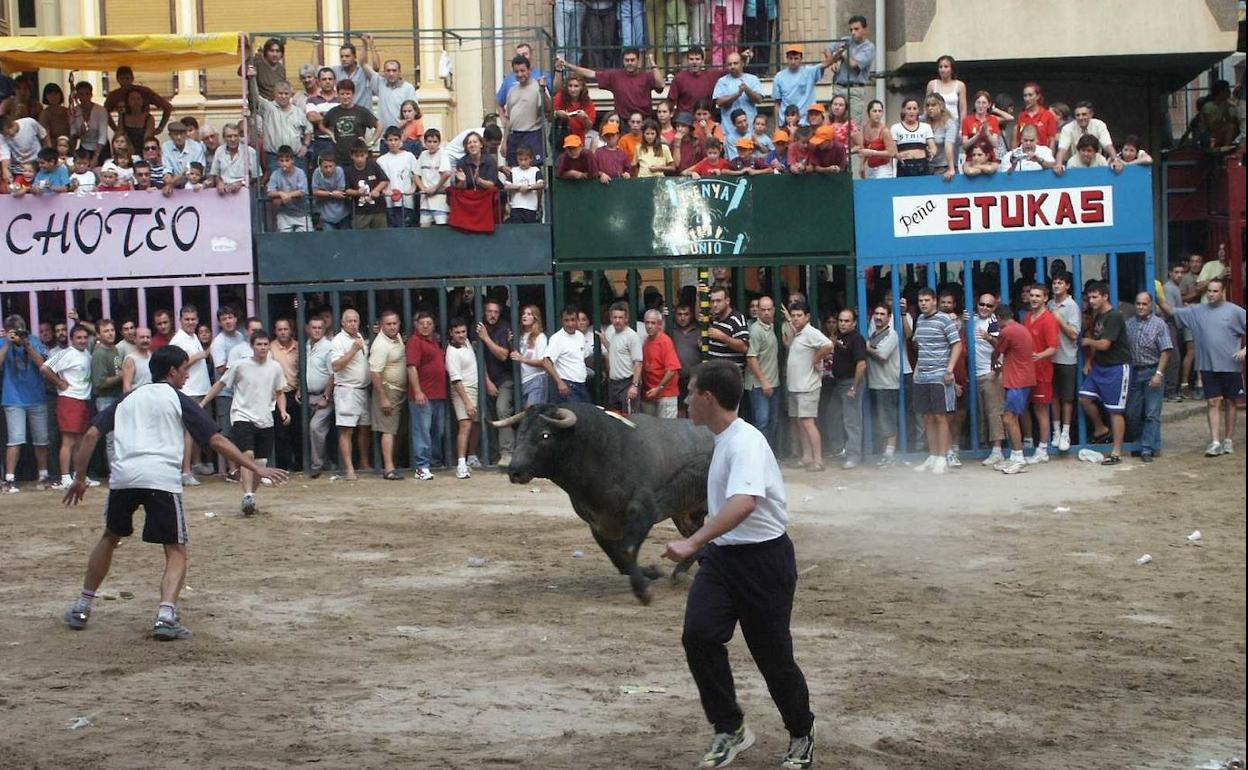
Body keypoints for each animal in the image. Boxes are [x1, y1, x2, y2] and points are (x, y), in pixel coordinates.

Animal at [494, 399, 718, 604]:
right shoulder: (599, 524)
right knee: (697, 537)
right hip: (685, 514)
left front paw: (643, 591)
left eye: (545, 435)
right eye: (519, 433)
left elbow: (626, 551)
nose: (515, 471)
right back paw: (679, 573)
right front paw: (651, 572)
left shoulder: (644, 512)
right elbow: (618, 559)